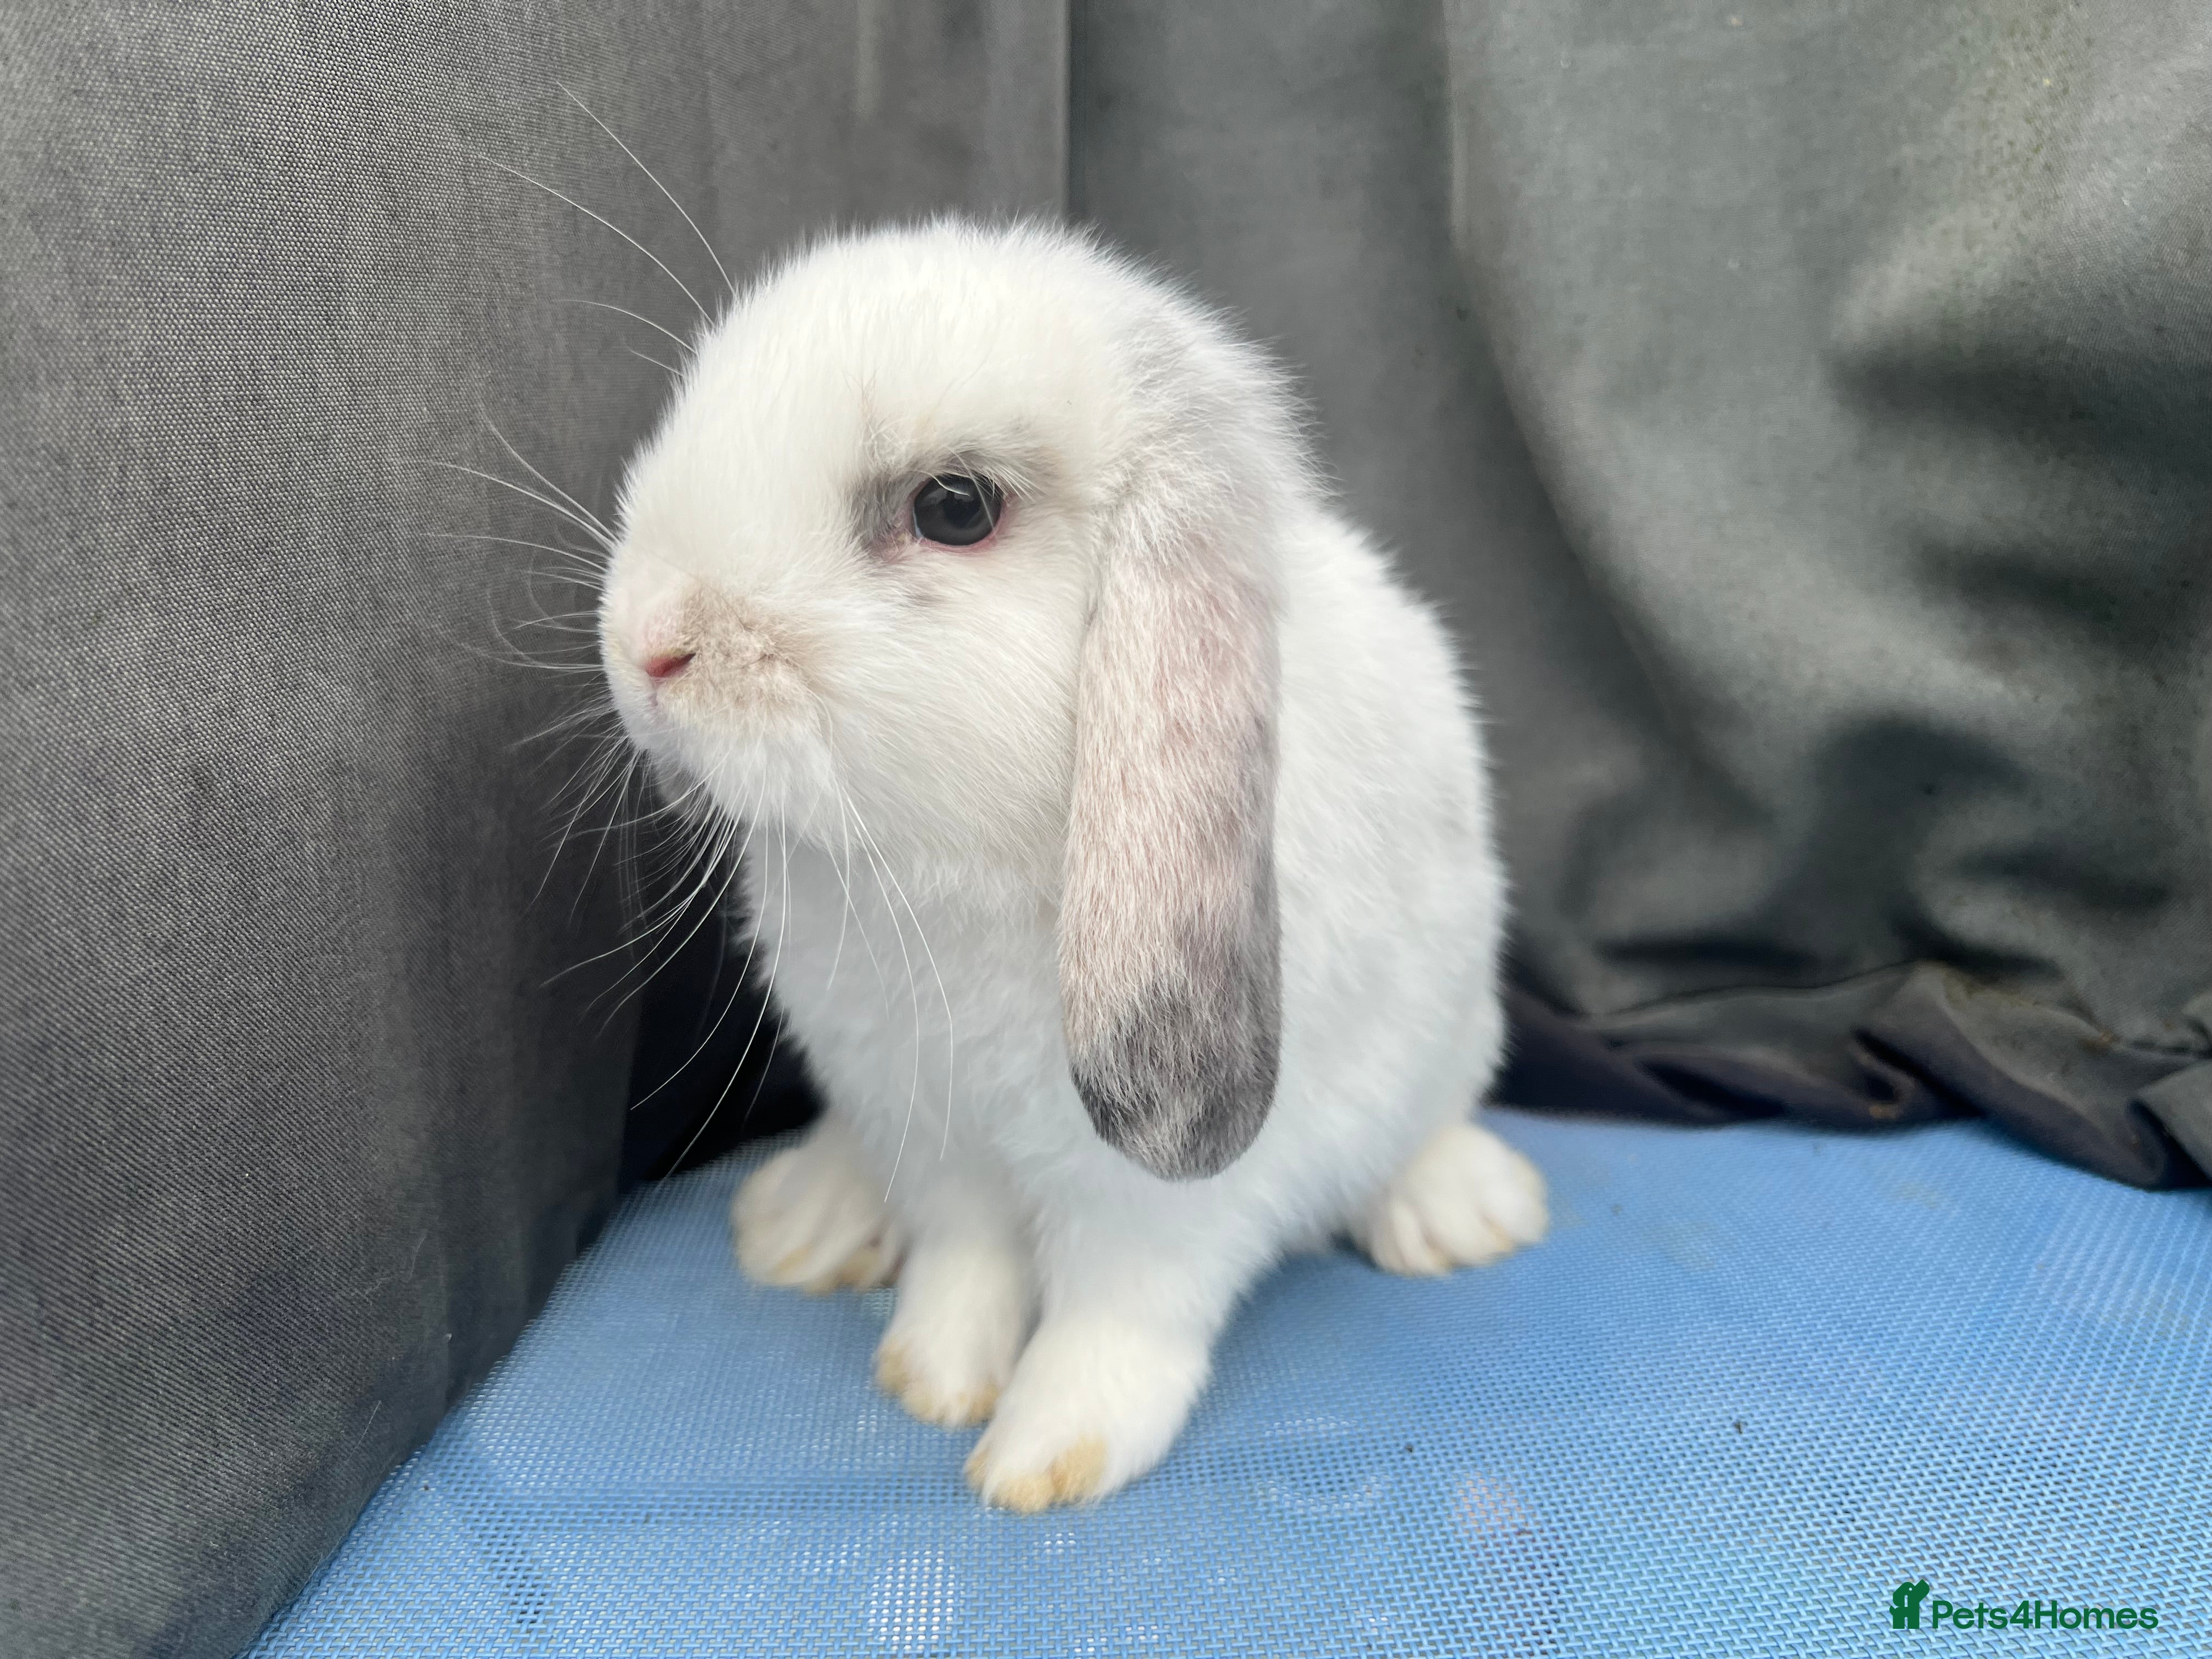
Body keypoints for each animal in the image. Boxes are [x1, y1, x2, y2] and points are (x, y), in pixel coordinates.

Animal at [598, 219, 1546, 1510]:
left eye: (953, 507)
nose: (645, 642)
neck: (939, 878)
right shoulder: (932, 1132)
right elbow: (963, 1262)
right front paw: (934, 1378)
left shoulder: (1160, 1199)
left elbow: (1119, 1314)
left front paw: (1043, 1458)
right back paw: (810, 1219)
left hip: (1453, 1033)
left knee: (1429, 1121)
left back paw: (1462, 1216)